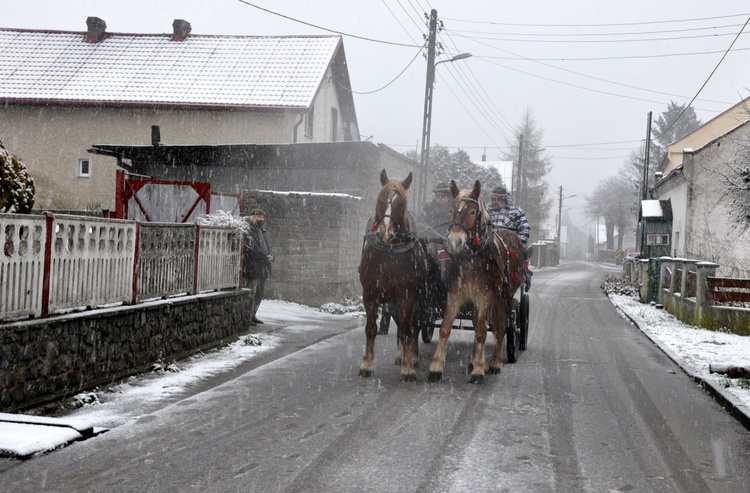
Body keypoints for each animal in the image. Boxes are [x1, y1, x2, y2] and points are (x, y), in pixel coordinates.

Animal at [360, 169, 438, 380]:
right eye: (380, 199)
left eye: (400, 203)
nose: (385, 234)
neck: (388, 253)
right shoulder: (370, 294)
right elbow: (371, 328)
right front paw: (366, 365)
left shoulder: (406, 295)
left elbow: (406, 329)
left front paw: (408, 368)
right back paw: (401, 355)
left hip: (419, 299)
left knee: (414, 325)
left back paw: (412, 357)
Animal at [426, 179, 524, 382]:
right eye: (451, 210)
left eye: (472, 212)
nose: (455, 241)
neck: (472, 256)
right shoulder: (456, 294)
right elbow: (445, 327)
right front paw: (436, 367)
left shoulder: (486, 296)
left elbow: (481, 331)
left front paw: (479, 370)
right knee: (480, 321)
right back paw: (473, 360)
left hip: (505, 296)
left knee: (502, 326)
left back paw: (495, 362)